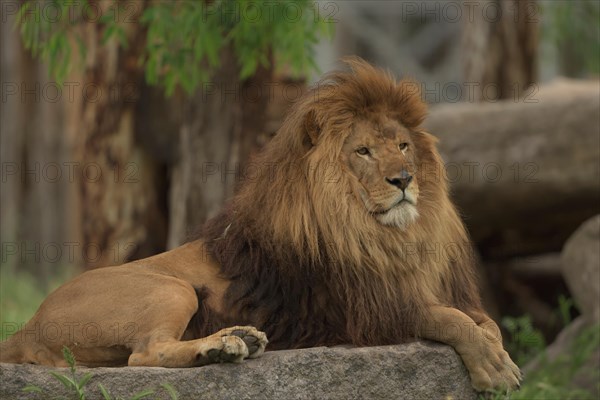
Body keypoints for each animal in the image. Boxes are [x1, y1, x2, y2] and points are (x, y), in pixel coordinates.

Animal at [0, 57, 520, 392]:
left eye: (403, 145)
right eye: (363, 151)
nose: (405, 180)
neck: (388, 235)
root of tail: (28, 325)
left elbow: (486, 321)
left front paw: (501, 355)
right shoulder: (370, 311)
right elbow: (451, 320)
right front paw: (494, 369)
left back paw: (237, 341)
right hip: (171, 289)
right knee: (144, 355)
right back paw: (223, 346)